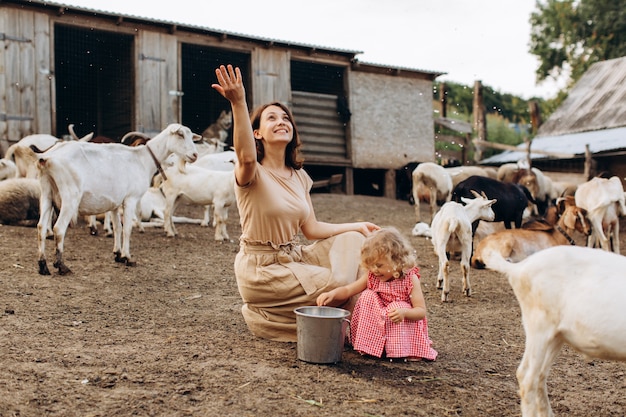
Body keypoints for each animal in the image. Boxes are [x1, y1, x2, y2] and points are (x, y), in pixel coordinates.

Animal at [33, 122, 197, 274]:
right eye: (180, 134)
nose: (195, 155)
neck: (142, 159)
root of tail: (47, 158)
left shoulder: (115, 203)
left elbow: (118, 227)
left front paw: (118, 254)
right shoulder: (130, 199)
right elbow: (127, 228)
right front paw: (128, 257)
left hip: (46, 194)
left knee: (41, 227)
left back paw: (43, 265)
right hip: (70, 197)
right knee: (58, 228)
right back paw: (61, 266)